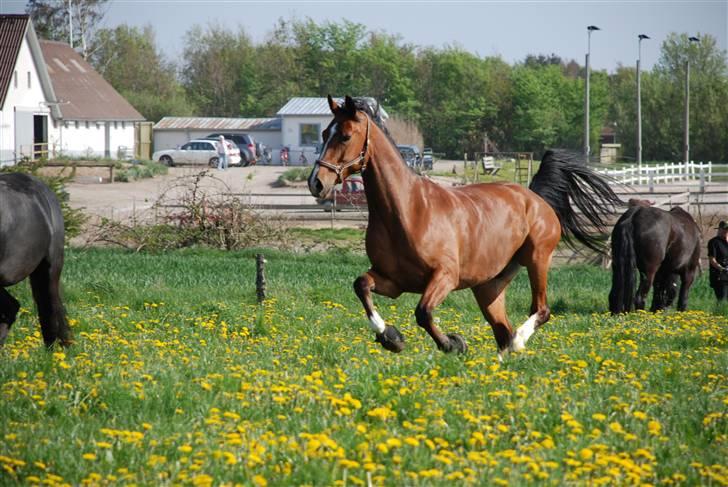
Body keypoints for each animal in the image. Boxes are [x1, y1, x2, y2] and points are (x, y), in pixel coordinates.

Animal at [308, 97, 620, 360]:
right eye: (323, 134)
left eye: (345, 135)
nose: (316, 183)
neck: (407, 211)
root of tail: (535, 198)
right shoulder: (393, 281)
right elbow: (361, 285)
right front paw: (391, 337)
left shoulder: (445, 276)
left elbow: (423, 312)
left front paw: (452, 343)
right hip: (489, 287)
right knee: (502, 330)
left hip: (537, 259)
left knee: (539, 312)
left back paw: (519, 341)